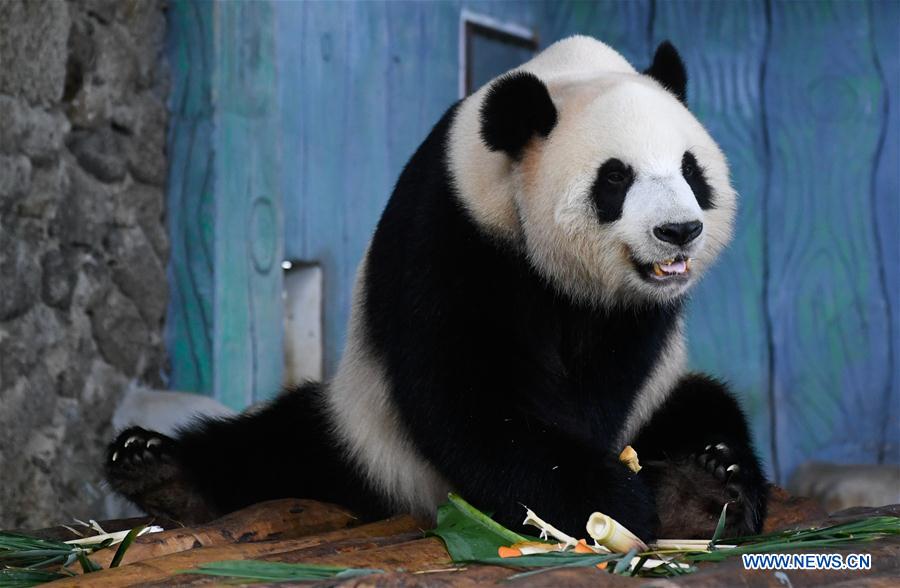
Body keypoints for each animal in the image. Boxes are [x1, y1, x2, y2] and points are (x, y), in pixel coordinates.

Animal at [106, 36, 768, 540]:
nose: (678, 231)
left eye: (690, 170)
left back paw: (705, 489)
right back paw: (159, 472)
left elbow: (609, 384)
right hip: (367, 437)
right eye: (615, 179)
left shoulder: (637, 321)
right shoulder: (456, 229)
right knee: (277, 448)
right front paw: (605, 500)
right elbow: (467, 392)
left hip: (664, 400)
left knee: (706, 406)